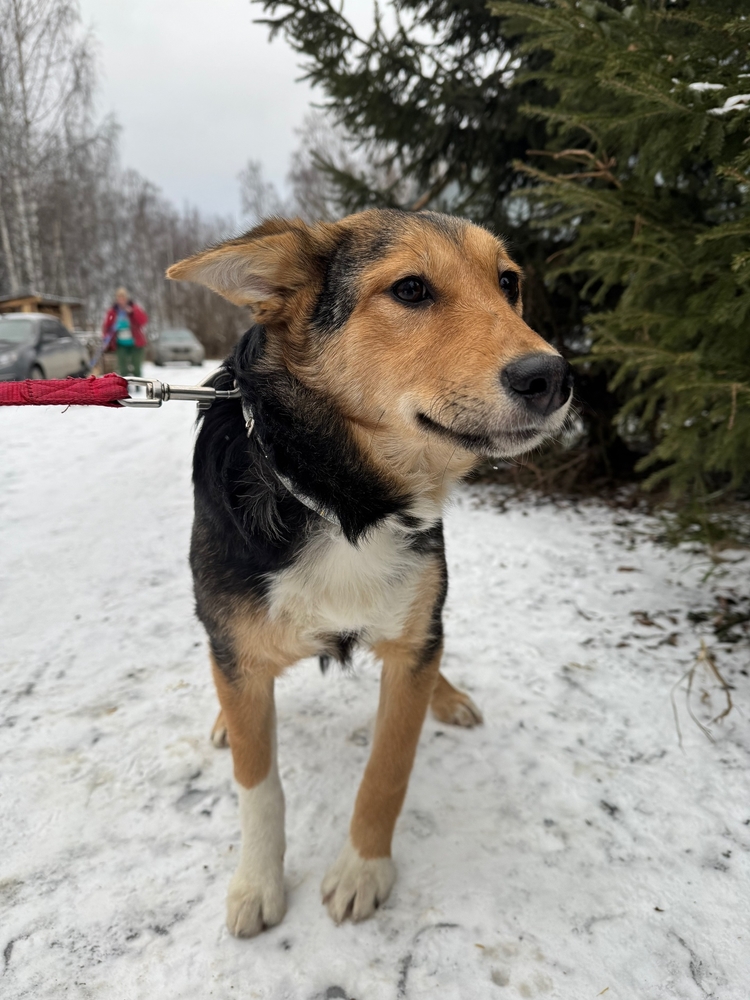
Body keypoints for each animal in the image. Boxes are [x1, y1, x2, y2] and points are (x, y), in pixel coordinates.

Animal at [166, 209, 572, 937]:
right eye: (410, 289)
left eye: (509, 283)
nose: (552, 377)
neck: (346, 502)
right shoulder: (239, 648)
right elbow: (258, 784)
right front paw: (257, 884)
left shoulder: (413, 640)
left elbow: (389, 767)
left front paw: (362, 870)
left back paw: (449, 697)